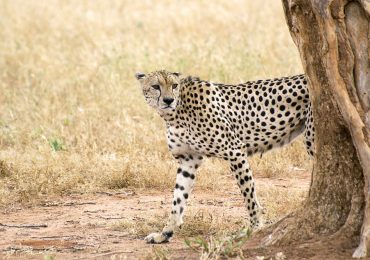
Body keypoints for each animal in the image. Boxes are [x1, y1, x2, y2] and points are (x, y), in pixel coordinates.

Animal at [134, 69, 314, 244]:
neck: (177, 110)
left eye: (174, 85)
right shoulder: (188, 160)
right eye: (156, 86)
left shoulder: (235, 151)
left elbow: (249, 195)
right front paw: (165, 233)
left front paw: (254, 228)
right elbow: (178, 198)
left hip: (311, 139)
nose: (168, 100)